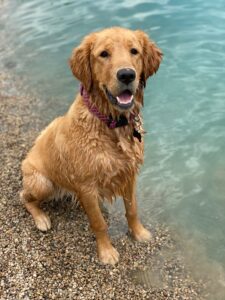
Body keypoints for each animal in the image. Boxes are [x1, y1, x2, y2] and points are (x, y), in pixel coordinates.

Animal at [20, 27, 162, 264]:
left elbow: (132, 209)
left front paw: (139, 233)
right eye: (104, 54)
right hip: (42, 183)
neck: (111, 123)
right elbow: (99, 223)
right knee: (24, 197)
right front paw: (106, 252)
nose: (127, 75)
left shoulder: (129, 173)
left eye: (134, 51)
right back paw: (41, 219)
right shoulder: (86, 186)